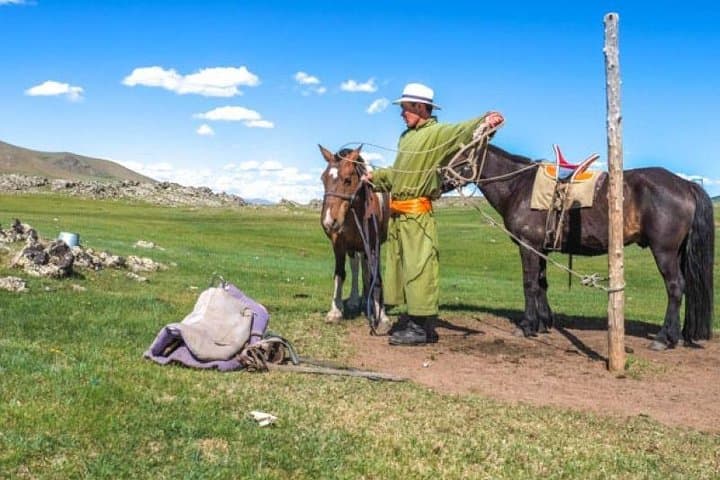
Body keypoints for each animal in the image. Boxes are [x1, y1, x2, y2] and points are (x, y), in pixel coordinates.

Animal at [319, 145, 391, 333]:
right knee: (357, 267)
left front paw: (382, 315)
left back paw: (368, 300)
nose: (328, 221)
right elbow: (340, 274)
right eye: (323, 179)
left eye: (347, 180)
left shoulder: (373, 244)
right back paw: (354, 300)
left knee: (367, 270)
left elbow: (376, 276)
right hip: (353, 248)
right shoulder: (339, 244)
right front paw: (335, 311)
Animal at [459, 143, 714, 350]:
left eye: (458, 155)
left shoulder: (528, 245)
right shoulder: (541, 249)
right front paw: (544, 322)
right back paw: (675, 336)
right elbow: (542, 284)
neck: (519, 186)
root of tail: (685, 184)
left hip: (664, 251)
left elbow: (529, 284)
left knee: (675, 287)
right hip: (677, 252)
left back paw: (662, 338)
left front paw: (527, 325)